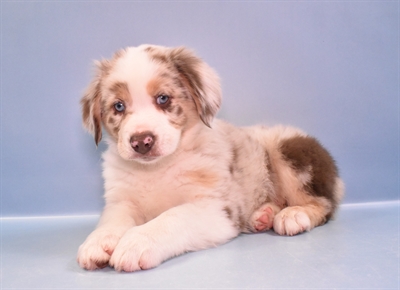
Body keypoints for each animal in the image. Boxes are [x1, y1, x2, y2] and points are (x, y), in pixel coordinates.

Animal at [77, 44, 344, 272]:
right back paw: (264, 215)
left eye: (163, 98)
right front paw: (97, 242)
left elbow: (172, 217)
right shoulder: (122, 201)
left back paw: (293, 215)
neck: (157, 170)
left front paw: (137, 242)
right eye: (119, 106)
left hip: (289, 152)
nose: (142, 142)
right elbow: (111, 220)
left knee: (324, 204)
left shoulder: (214, 209)